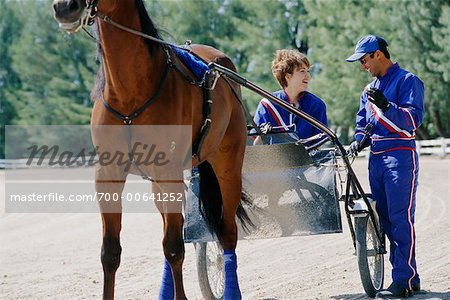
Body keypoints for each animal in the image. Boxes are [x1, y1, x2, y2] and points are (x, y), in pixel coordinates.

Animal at [52, 0, 250, 298]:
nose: (65, 7)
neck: (129, 93)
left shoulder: (169, 171)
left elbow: (174, 248)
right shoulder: (108, 174)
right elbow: (111, 252)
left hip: (226, 164)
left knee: (226, 232)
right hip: (159, 183)